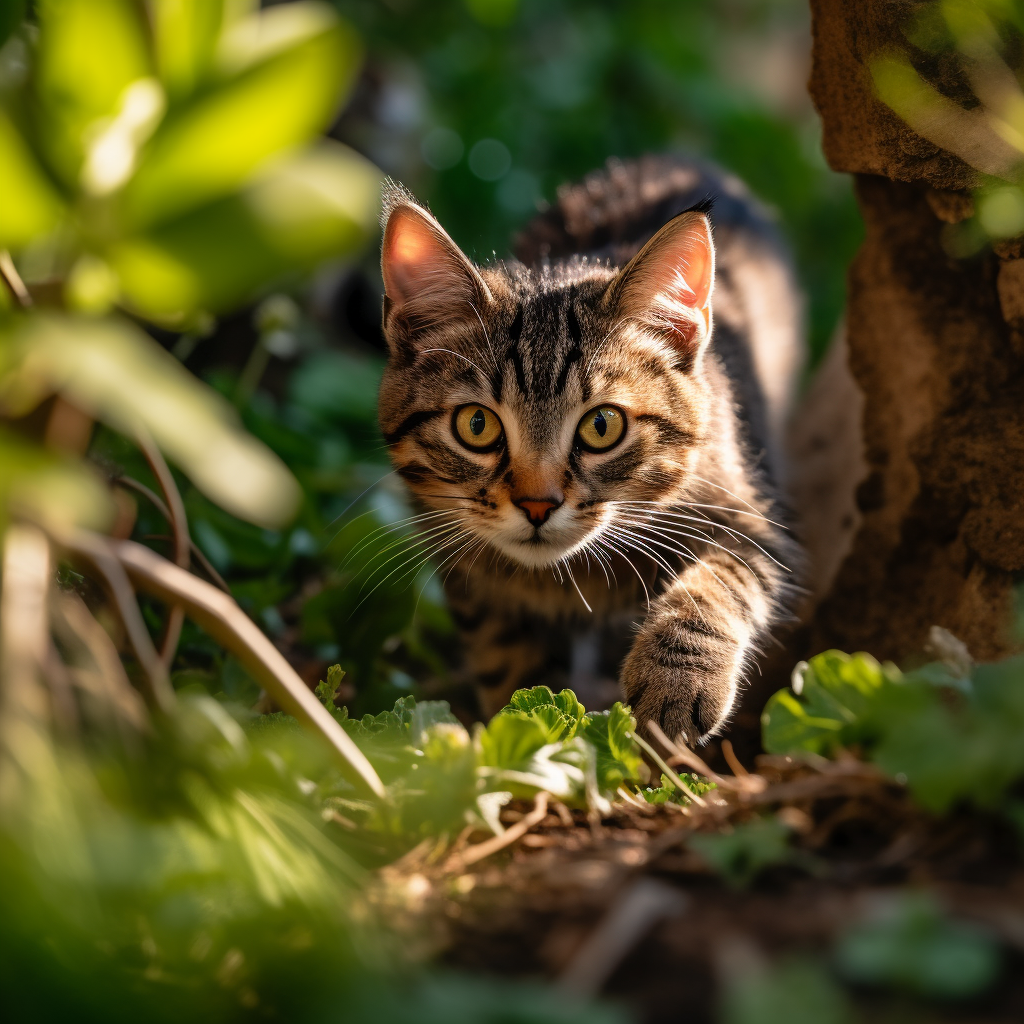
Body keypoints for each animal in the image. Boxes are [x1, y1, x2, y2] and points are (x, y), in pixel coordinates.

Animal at [378, 153, 806, 745]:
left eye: (602, 426)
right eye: (476, 425)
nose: (537, 505)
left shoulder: (755, 519)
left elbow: (722, 580)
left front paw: (676, 677)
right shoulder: (466, 573)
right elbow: (509, 669)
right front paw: (526, 733)